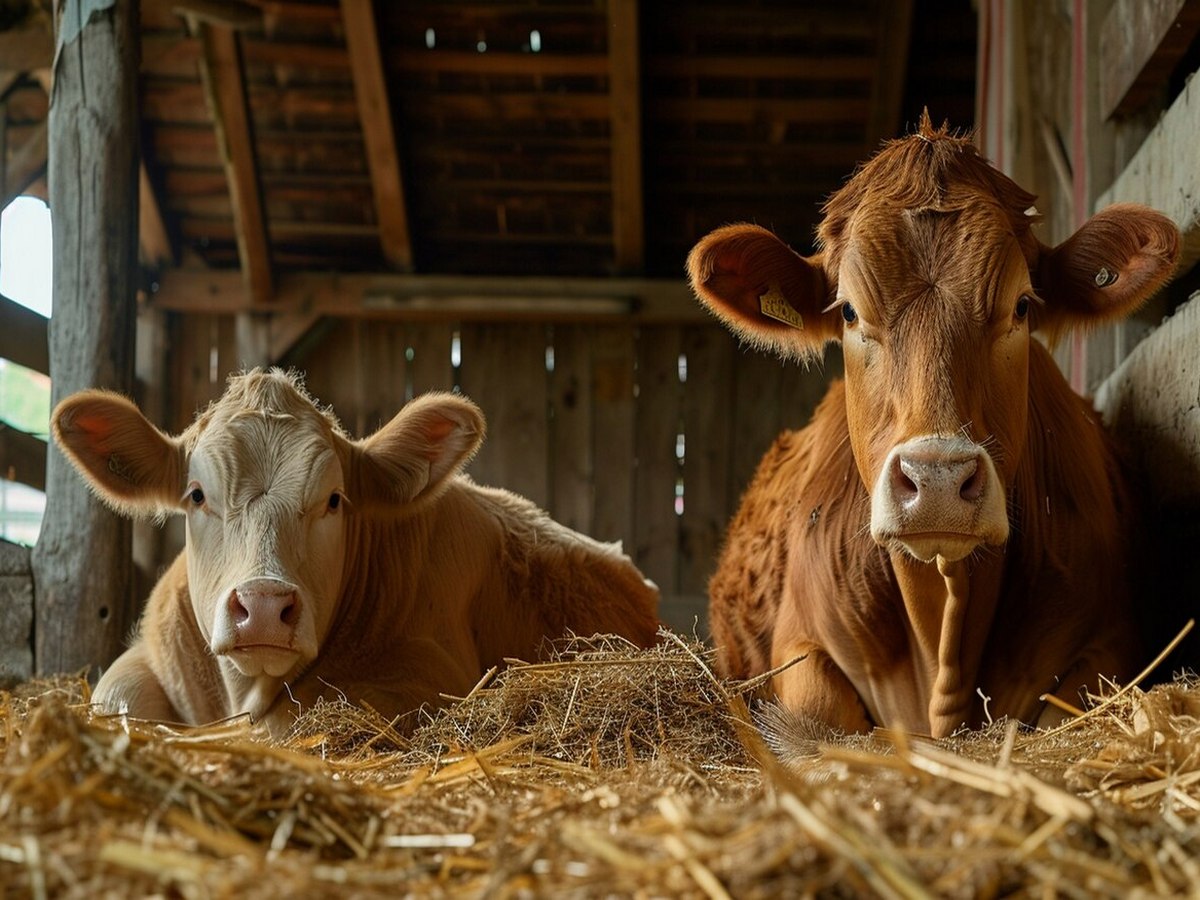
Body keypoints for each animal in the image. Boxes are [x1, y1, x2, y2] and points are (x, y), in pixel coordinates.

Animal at [51, 369, 662, 734]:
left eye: (334, 500)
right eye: (197, 495)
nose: (264, 606)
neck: (243, 692)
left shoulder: (430, 676)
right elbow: (116, 694)